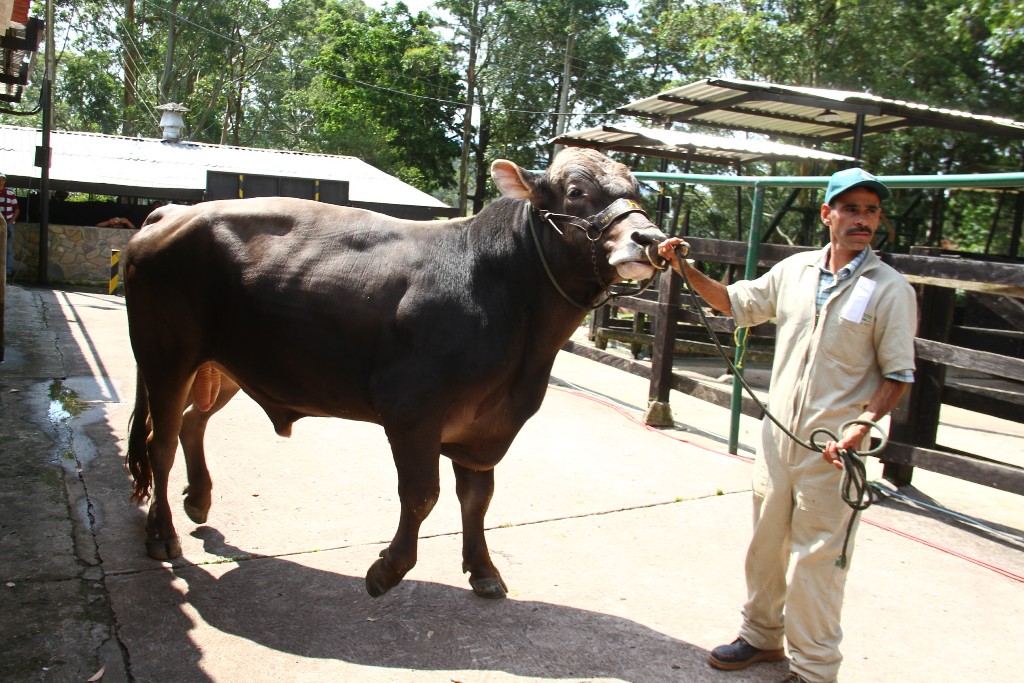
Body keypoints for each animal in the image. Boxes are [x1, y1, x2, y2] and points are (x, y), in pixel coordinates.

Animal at [123, 149, 667, 598]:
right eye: (576, 191)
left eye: (638, 193)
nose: (651, 238)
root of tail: (172, 212)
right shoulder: (412, 410)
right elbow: (422, 493)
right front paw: (388, 569)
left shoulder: (487, 425)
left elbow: (478, 499)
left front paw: (483, 570)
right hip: (165, 356)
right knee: (159, 442)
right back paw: (163, 535)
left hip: (224, 365)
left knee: (192, 422)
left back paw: (199, 501)